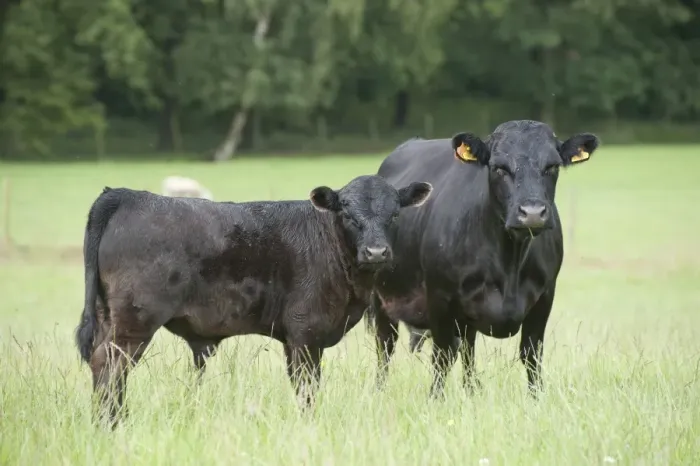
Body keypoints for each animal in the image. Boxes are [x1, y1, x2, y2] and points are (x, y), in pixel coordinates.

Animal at [74, 175, 433, 426]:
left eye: (395, 213)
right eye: (346, 211)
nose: (376, 252)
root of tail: (127, 195)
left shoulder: (294, 339)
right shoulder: (305, 334)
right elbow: (307, 388)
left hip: (108, 316)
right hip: (133, 323)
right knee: (109, 367)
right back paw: (113, 423)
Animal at [365, 120, 600, 397]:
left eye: (552, 166)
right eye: (499, 168)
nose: (532, 213)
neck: (509, 264)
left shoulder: (544, 297)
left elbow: (531, 354)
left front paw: (536, 397)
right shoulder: (439, 297)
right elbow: (442, 356)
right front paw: (435, 399)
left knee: (467, 349)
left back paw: (470, 391)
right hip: (382, 298)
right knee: (385, 346)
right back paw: (379, 391)